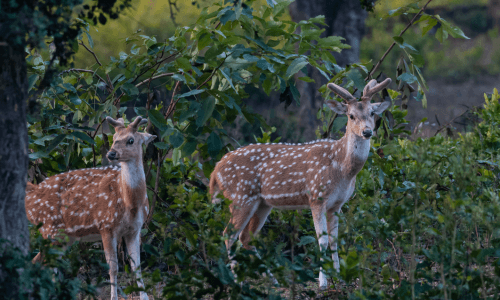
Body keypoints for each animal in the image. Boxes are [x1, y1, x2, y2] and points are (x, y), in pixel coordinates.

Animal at [24, 116, 154, 300]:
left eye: (131, 140)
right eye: (114, 138)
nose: (111, 153)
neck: (130, 203)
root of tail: (30, 194)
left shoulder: (135, 229)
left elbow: (137, 267)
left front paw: (145, 297)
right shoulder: (105, 225)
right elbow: (113, 268)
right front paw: (113, 297)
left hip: (64, 236)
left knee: (42, 262)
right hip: (49, 229)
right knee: (43, 262)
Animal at [209, 78, 392, 288]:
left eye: (372, 112)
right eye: (351, 115)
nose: (367, 131)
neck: (342, 169)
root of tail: (215, 170)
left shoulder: (337, 204)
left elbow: (334, 240)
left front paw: (338, 277)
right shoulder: (316, 196)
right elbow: (322, 241)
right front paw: (323, 282)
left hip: (262, 203)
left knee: (246, 237)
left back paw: (273, 281)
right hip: (240, 196)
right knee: (228, 234)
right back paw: (237, 281)